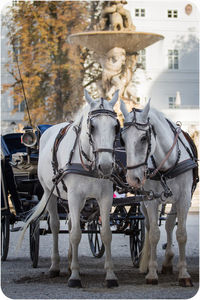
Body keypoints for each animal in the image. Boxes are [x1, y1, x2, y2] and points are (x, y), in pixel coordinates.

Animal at [19, 89, 120, 288]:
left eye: (115, 127)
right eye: (92, 126)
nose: (105, 166)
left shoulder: (105, 197)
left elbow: (105, 234)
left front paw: (110, 275)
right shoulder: (74, 196)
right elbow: (74, 235)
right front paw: (74, 276)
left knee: (73, 223)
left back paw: (69, 262)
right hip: (50, 193)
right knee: (56, 226)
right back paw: (56, 266)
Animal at [119, 99, 198, 286]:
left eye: (144, 138)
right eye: (122, 139)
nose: (132, 178)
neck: (167, 166)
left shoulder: (184, 199)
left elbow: (181, 234)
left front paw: (184, 274)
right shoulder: (151, 200)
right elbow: (154, 234)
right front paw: (152, 273)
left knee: (169, 225)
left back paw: (168, 261)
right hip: (144, 203)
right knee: (149, 226)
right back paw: (148, 264)